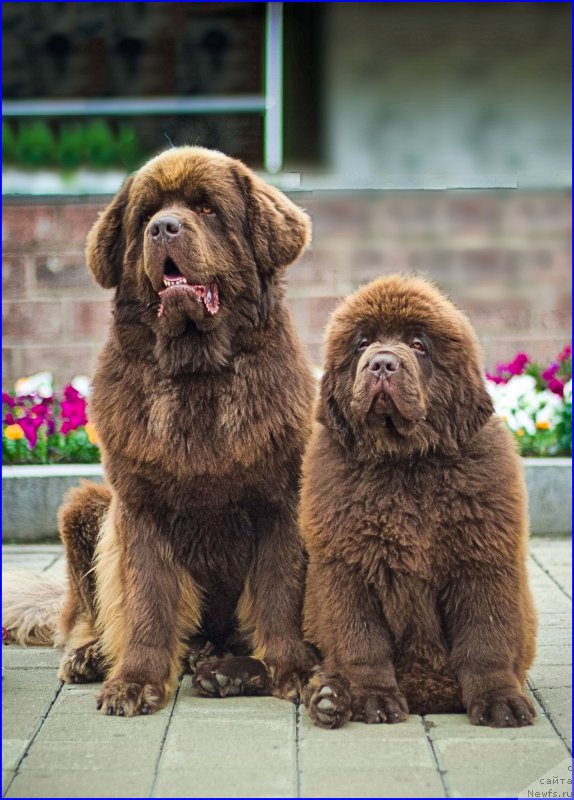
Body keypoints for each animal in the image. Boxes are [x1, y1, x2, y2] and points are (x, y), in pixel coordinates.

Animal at [15, 147, 320, 716]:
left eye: (206, 208)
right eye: (146, 216)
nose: (164, 228)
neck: (197, 374)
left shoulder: (281, 502)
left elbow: (280, 591)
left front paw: (292, 671)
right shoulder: (141, 506)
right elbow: (147, 599)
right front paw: (135, 682)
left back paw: (224, 670)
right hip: (84, 509)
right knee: (83, 618)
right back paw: (94, 657)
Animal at [302, 276, 540, 732]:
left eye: (417, 344)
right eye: (362, 344)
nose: (381, 364)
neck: (405, 463)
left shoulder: (483, 560)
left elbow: (486, 638)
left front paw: (499, 701)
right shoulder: (346, 566)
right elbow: (362, 640)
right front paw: (373, 698)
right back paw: (327, 696)